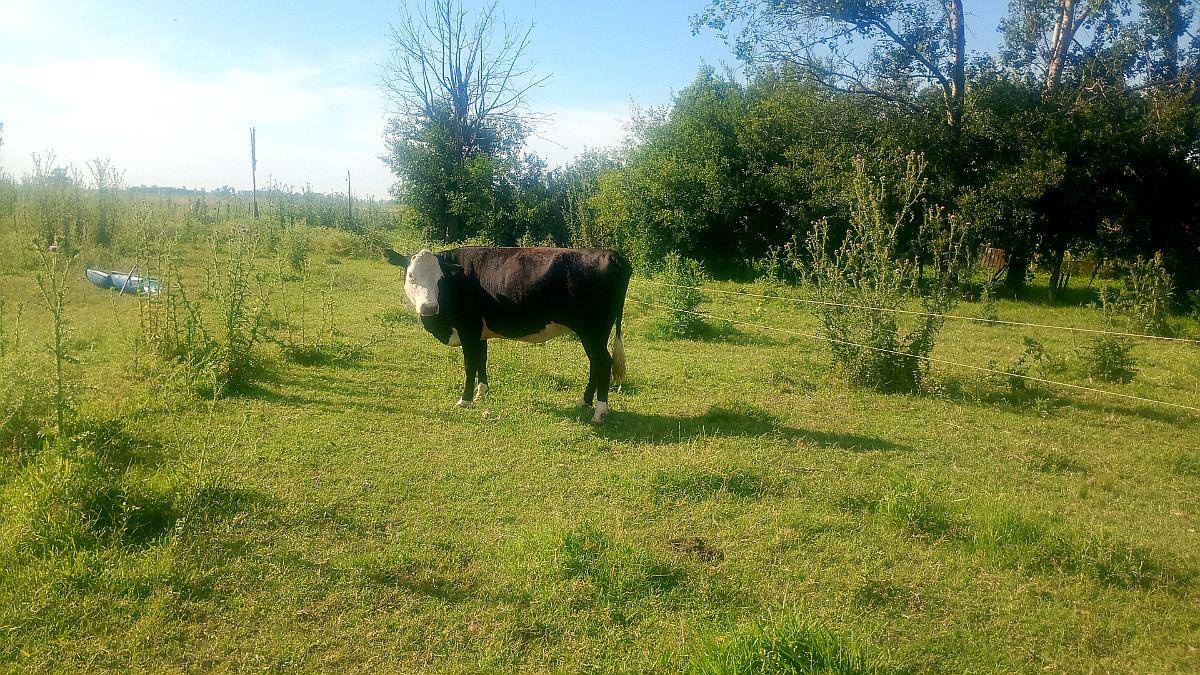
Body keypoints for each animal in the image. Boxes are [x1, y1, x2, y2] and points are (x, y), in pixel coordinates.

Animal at [383, 246, 631, 424]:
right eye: (411, 276)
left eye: (440, 279)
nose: (428, 307)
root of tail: (611, 254)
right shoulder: (479, 332)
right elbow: (481, 360)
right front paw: (482, 392)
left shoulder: (467, 329)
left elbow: (470, 364)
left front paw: (465, 399)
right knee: (595, 364)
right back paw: (584, 402)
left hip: (593, 331)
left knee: (603, 363)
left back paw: (599, 412)